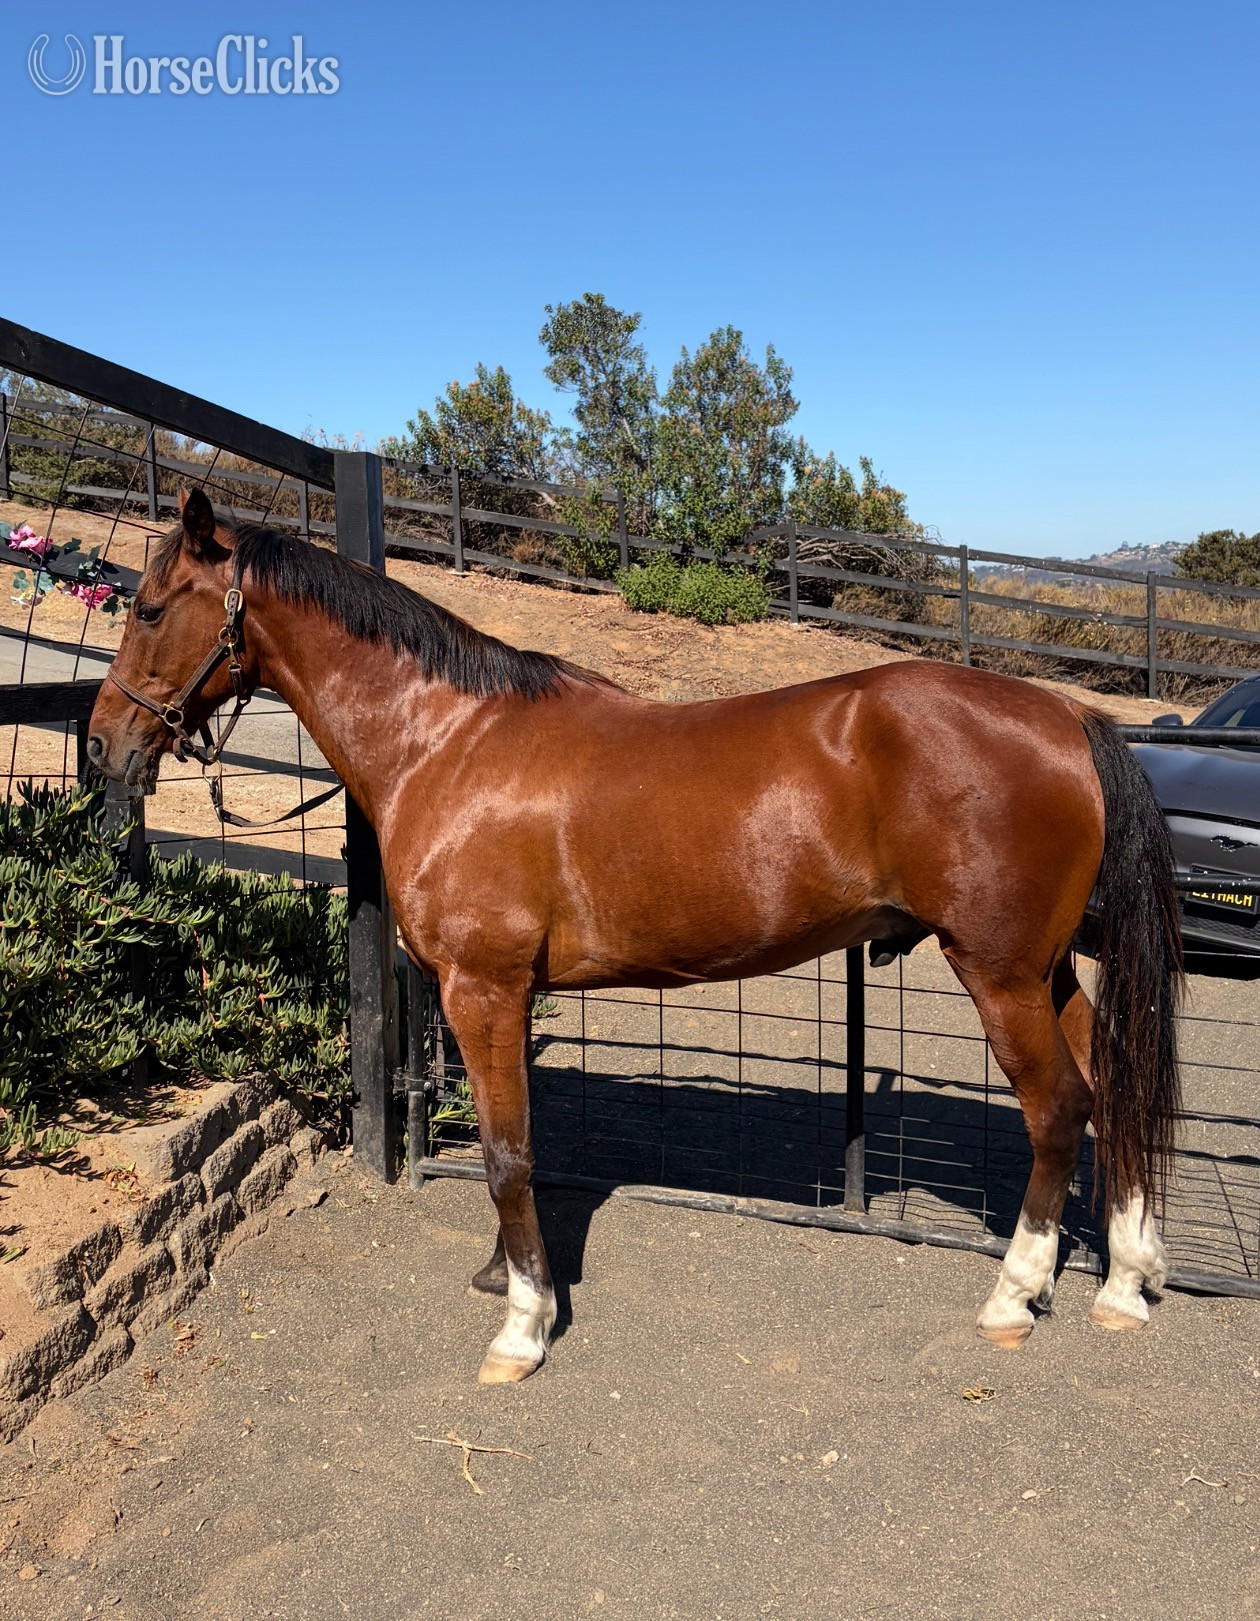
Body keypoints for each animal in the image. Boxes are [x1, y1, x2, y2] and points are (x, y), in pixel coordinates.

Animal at [87, 488, 1184, 1384]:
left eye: (149, 608)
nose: (103, 744)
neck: (449, 741)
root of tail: (1071, 715)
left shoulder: (483, 988)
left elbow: (508, 1152)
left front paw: (524, 1326)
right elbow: (514, 1143)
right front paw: (501, 1273)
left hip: (997, 971)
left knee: (1059, 1109)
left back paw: (1014, 1295)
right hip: (1044, 970)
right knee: (1107, 1092)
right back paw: (1125, 1281)